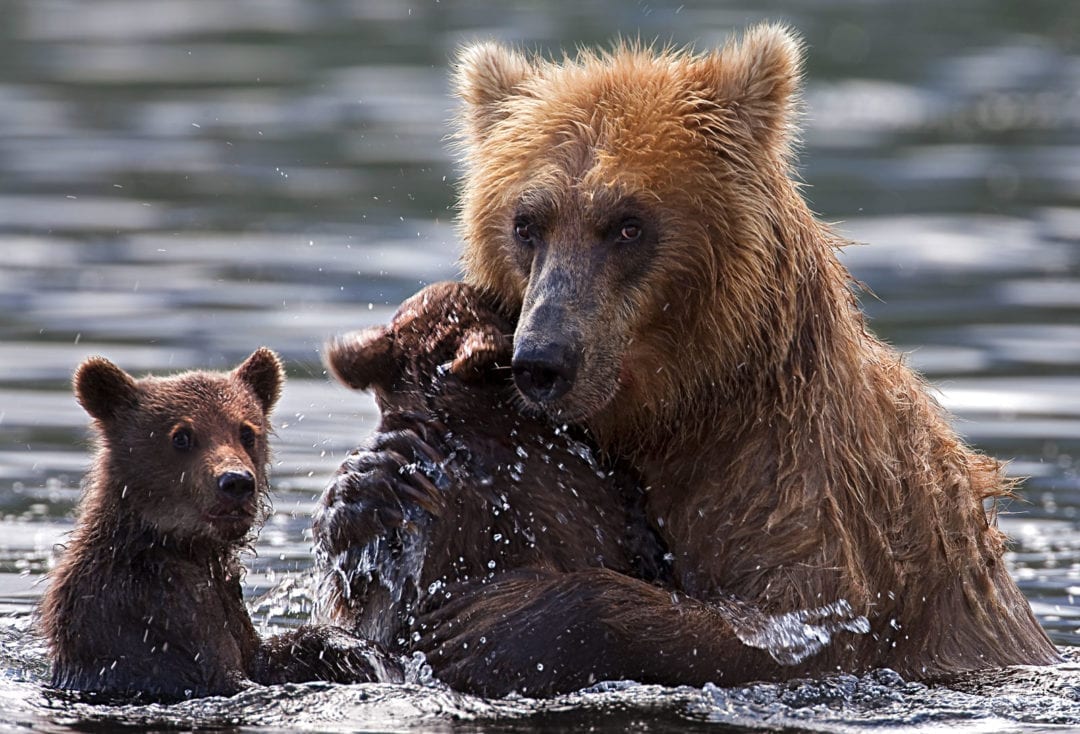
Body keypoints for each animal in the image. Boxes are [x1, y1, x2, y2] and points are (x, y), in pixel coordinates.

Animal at [39, 348, 402, 702]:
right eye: (181, 436)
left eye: (247, 431)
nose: (236, 482)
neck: (181, 546)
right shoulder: (149, 613)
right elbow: (226, 676)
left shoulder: (225, 599)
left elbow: (264, 659)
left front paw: (350, 647)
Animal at [414, 22, 1061, 687]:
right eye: (526, 223)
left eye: (627, 224)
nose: (543, 360)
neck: (695, 410)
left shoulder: (811, 491)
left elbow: (791, 630)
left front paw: (485, 624)